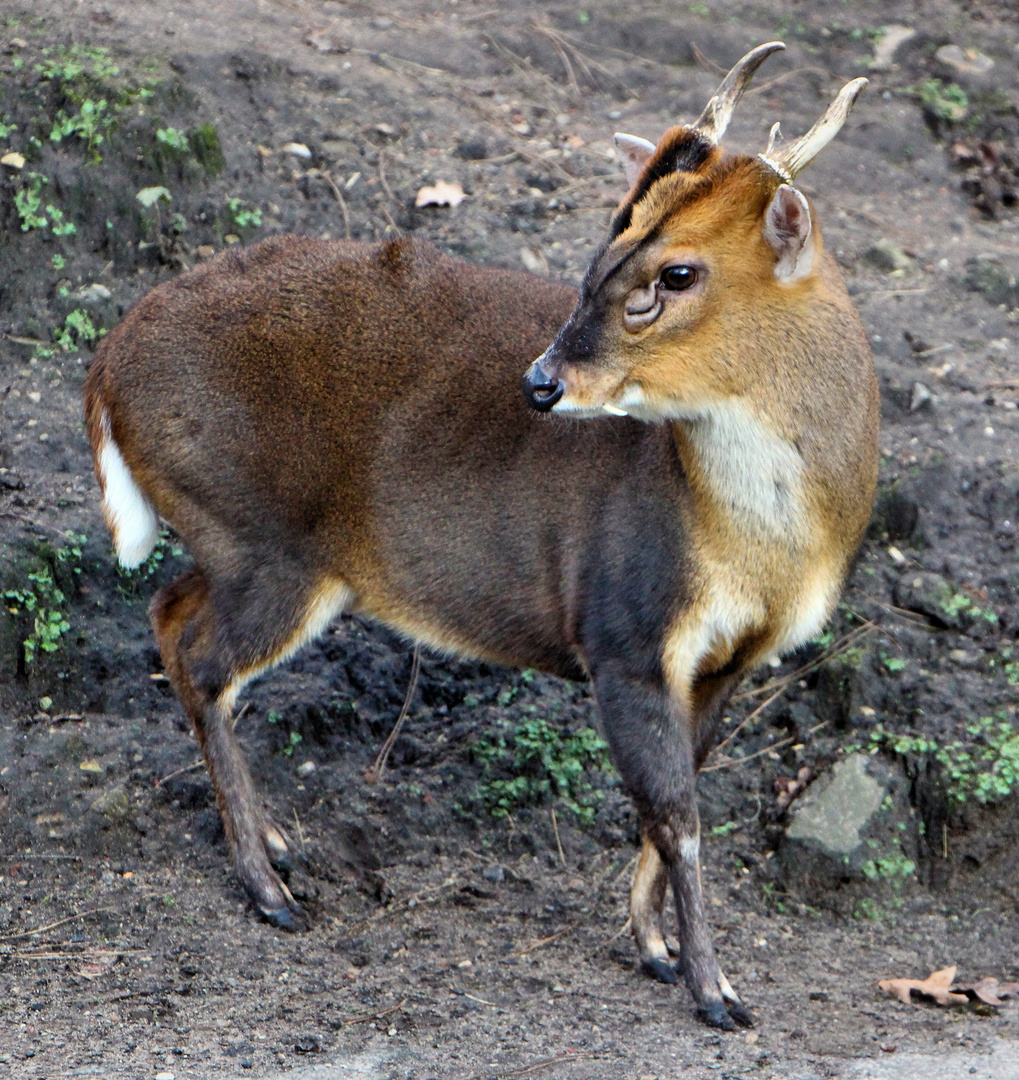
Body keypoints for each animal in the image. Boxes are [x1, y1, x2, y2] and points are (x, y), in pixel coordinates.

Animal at [87, 46, 880, 1028]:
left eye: (678, 273)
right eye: (603, 248)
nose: (541, 381)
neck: (756, 541)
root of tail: (106, 366)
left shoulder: (731, 659)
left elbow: (676, 801)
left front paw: (653, 948)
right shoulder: (623, 630)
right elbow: (680, 817)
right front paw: (716, 991)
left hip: (242, 548)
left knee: (168, 611)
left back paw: (274, 842)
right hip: (264, 541)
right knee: (199, 657)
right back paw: (268, 889)